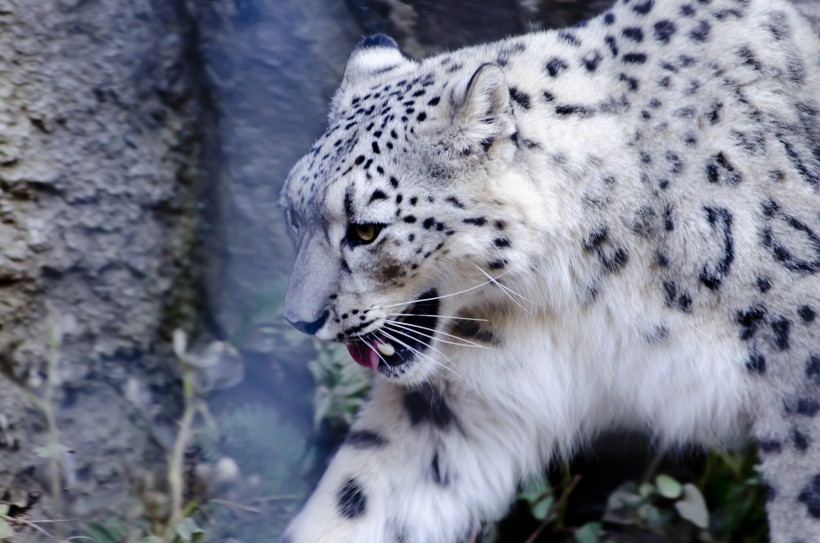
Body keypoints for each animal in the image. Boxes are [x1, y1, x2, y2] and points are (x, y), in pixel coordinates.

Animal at [278, 1, 816, 540]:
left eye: (366, 230)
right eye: (293, 214)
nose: (299, 320)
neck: (577, 300)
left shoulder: (799, 377)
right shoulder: (472, 397)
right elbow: (358, 495)